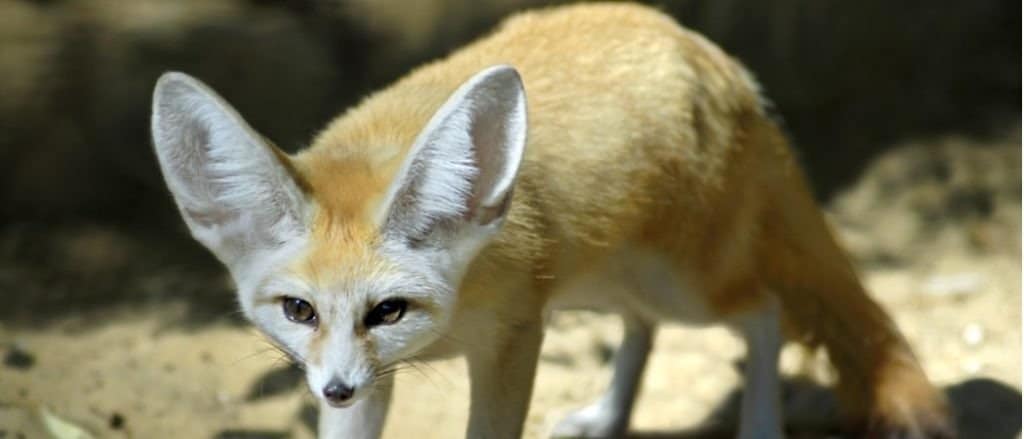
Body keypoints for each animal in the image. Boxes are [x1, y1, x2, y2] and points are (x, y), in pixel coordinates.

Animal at [149, 3, 950, 437]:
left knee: (765, 313)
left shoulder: (514, 337)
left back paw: (758, 426)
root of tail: (702, 49)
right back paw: (607, 416)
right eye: (299, 310)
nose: (336, 389)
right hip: (598, 282)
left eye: (388, 310)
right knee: (642, 327)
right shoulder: (377, 375)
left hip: (684, 287)